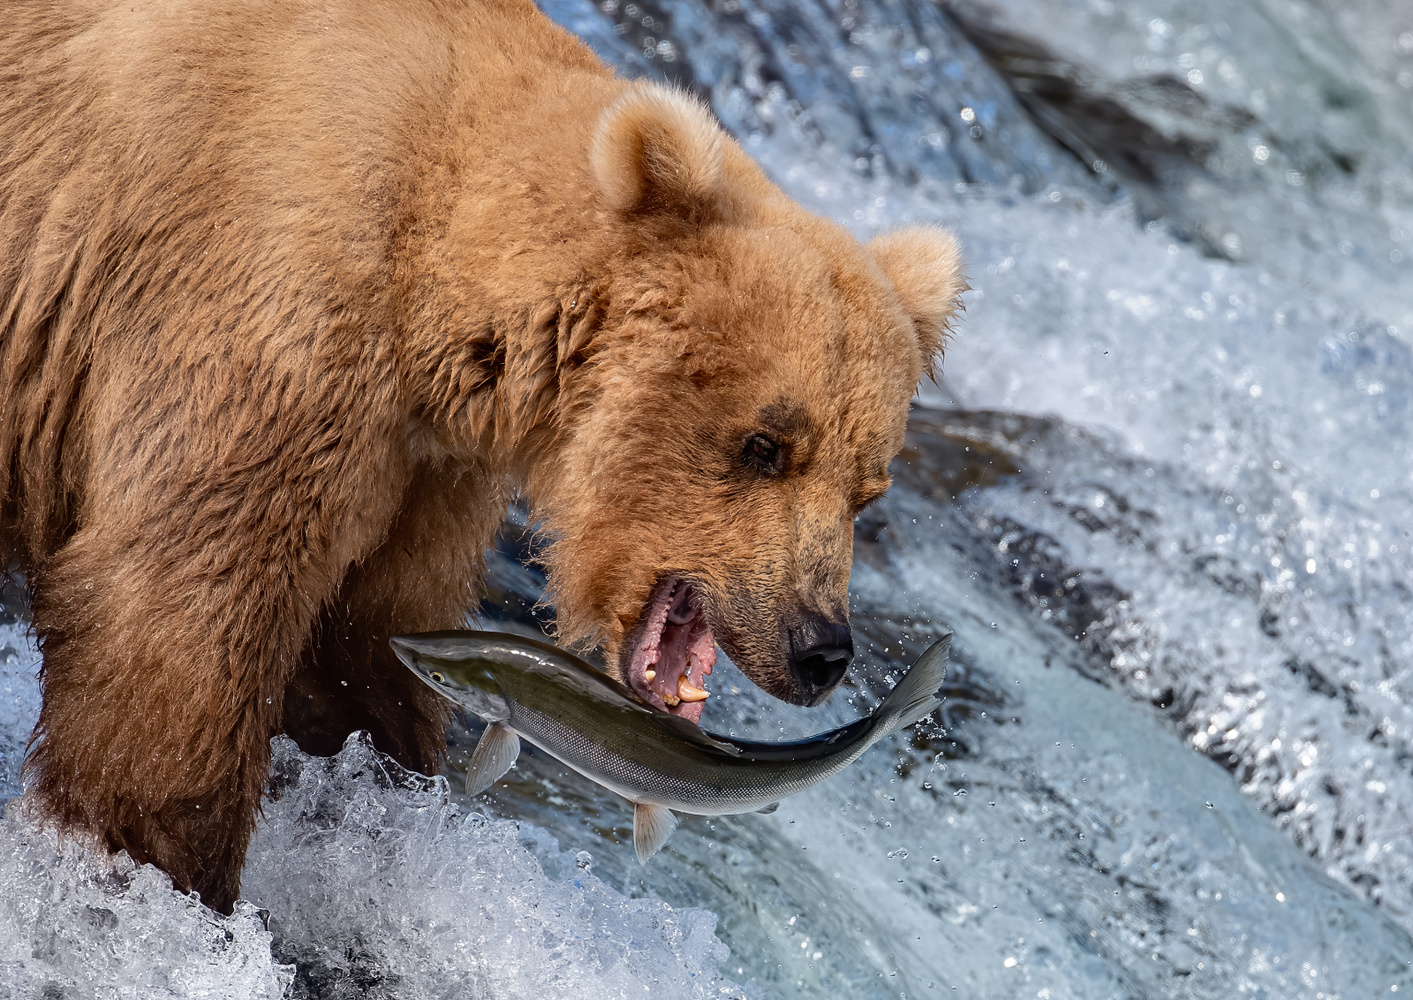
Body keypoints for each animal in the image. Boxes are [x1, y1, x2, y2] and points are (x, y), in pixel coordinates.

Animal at [0, 0, 960, 915]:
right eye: (765, 445)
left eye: (865, 489)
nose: (819, 647)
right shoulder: (260, 312)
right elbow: (181, 627)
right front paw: (157, 873)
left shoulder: (421, 470)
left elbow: (358, 643)